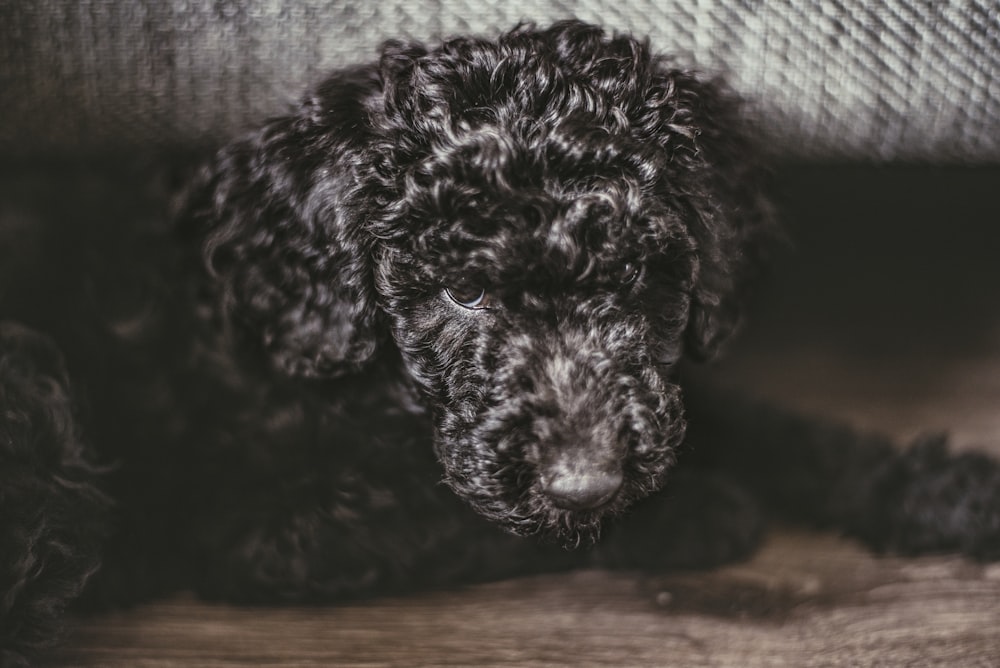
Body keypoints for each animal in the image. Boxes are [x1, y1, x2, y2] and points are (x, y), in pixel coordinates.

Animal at [1, 19, 1000, 664]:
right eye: (464, 291)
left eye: (638, 280)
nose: (586, 480)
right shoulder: (268, 529)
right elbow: (464, 519)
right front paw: (698, 511)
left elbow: (770, 425)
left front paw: (948, 491)